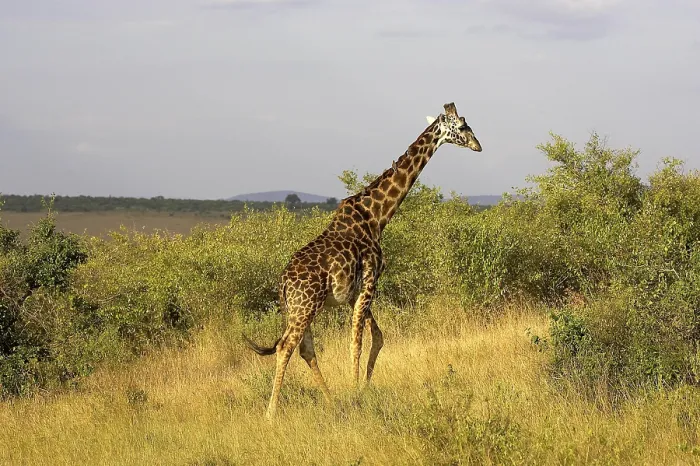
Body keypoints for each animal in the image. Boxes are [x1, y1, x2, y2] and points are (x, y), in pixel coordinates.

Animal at [243, 102, 482, 419]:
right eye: (463, 126)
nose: (478, 145)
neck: (376, 217)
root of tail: (283, 284)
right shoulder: (370, 282)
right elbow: (356, 341)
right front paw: (356, 391)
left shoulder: (355, 292)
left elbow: (377, 336)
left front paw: (363, 388)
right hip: (306, 306)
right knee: (286, 347)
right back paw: (271, 413)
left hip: (297, 310)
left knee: (305, 349)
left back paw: (331, 400)